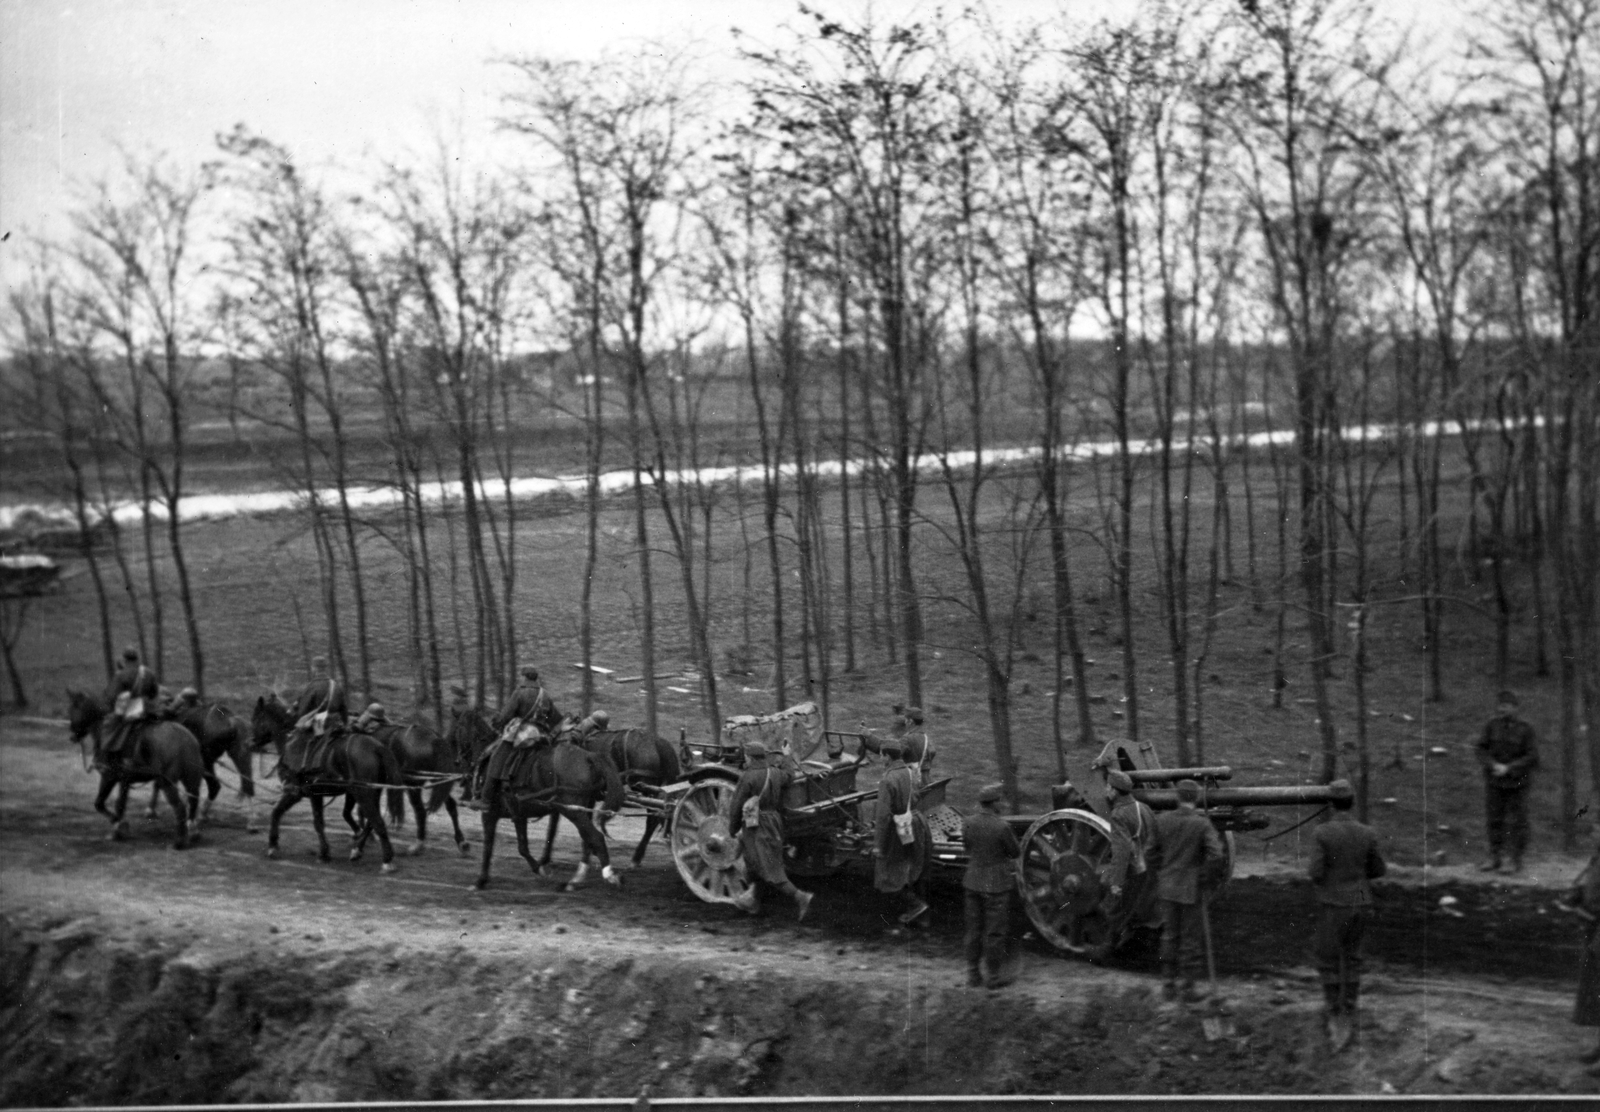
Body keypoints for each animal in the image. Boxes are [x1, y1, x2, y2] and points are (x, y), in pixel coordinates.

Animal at [66, 688, 206, 851]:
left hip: (167, 783)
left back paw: (179, 842)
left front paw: (118, 827)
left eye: (73, 708)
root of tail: (184, 739)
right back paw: (193, 833)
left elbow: (100, 804)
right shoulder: (124, 780)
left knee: (180, 807)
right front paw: (119, 829)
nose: (72, 736)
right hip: (192, 780)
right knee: (193, 802)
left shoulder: (108, 777)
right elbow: (120, 804)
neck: (103, 730)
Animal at [249, 691, 403, 876]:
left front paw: (275, 846)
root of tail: (377, 747)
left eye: (255, 718)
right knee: (371, 822)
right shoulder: (313, 794)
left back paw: (386, 860)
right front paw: (324, 852)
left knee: (377, 822)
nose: (250, 742)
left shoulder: (297, 792)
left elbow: (290, 816)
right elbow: (307, 818)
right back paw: (357, 850)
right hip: (370, 793)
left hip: (363, 794)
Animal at [467, 739, 624, 896]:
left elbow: (488, 847)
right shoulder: (519, 814)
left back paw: (609, 875)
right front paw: (539, 868)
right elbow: (522, 847)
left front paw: (480, 881)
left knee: (595, 837)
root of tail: (588, 755)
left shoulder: (489, 814)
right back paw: (574, 881)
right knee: (587, 841)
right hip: (582, 810)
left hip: (573, 812)